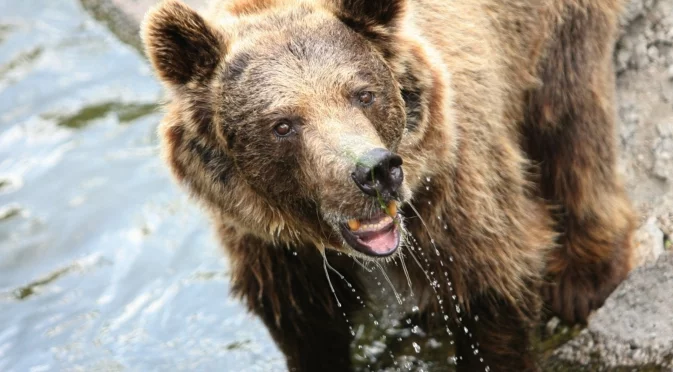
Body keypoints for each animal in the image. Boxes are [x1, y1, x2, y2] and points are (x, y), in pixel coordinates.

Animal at [140, 0, 636, 370]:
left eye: (364, 94)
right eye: (282, 124)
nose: (374, 171)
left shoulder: (459, 196)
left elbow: (494, 285)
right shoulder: (271, 249)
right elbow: (306, 325)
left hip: (552, 35)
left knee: (571, 123)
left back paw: (584, 278)